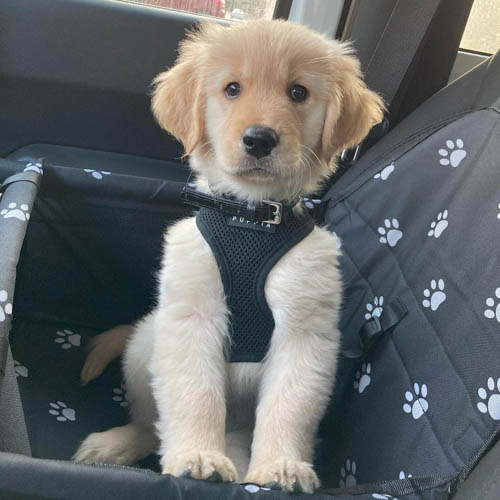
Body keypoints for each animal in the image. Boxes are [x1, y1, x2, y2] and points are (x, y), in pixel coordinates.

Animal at [73, 18, 382, 492]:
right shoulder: (193, 318)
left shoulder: (303, 333)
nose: (259, 139)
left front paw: (280, 466)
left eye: (298, 92)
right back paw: (114, 445)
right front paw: (197, 455)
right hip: (146, 344)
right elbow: (195, 395)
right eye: (232, 89)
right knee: (151, 423)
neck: (250, 222)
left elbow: (288, 404)